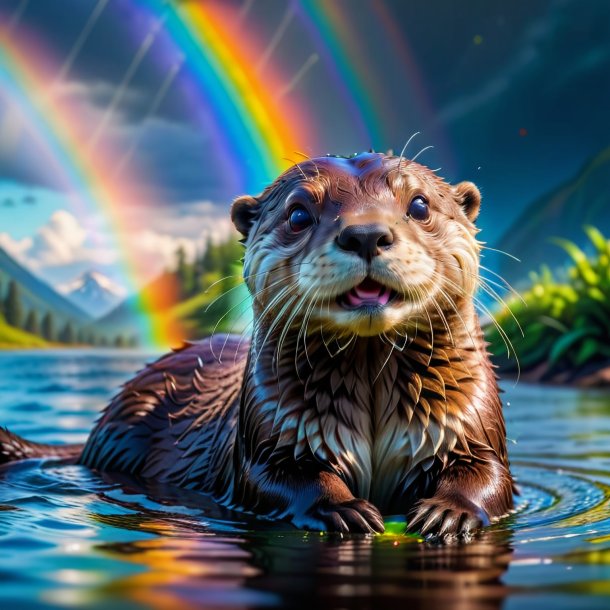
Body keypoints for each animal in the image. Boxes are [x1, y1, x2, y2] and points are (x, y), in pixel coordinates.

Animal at [0, 152, 512, 536]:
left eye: (420, 205)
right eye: (299, 213)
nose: (366, 233)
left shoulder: (469, 420)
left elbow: (490, 473)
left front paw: (451, 510)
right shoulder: (272, 426)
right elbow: (278, 477)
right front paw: (340, 509)